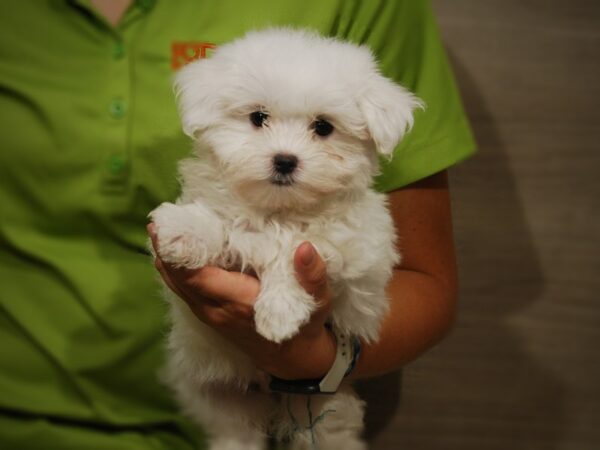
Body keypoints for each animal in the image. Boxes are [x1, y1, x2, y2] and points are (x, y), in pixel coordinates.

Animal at [150, 28, 422, 450]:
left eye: (323, 127)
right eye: (258, 118)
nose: (284, 160)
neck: (279, 211)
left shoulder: (354, 246)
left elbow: (296, 248)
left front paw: (279, 312)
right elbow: (220, 220)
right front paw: (184, 228)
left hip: (327, 407)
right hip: (219, 396)